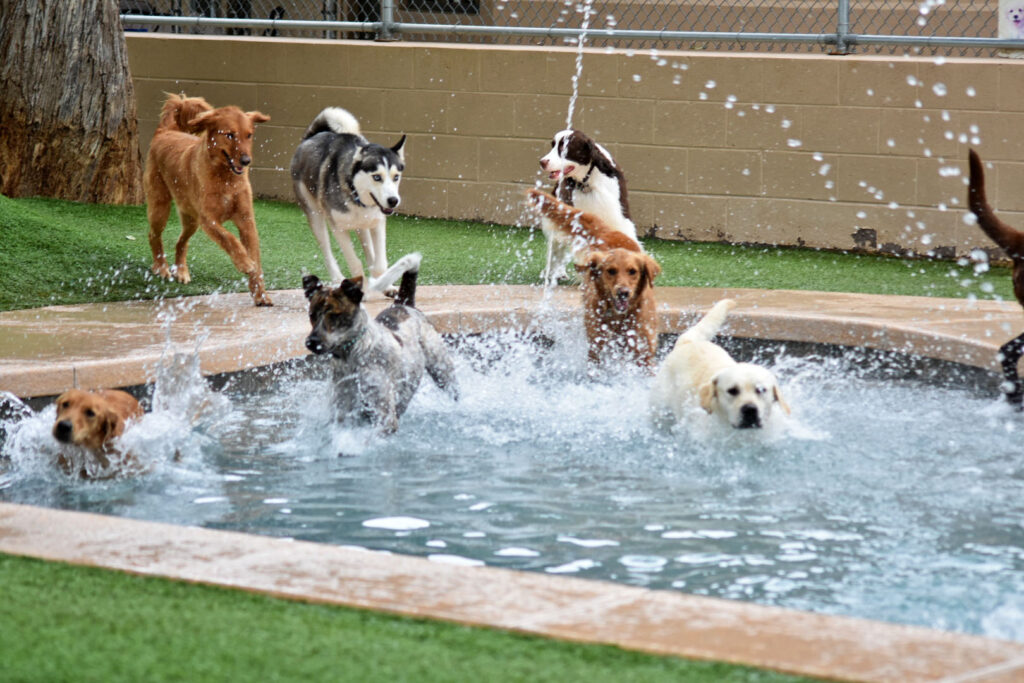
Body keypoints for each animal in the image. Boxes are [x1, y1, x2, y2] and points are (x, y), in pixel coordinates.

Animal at [145, 92, 272, 305]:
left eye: (249, 135)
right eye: (230, 135)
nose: (246, 161)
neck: (226, 178)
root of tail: (165, 131)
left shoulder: (247, 222)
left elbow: (257, 263)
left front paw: (261, 294)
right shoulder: (209, 219)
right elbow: (229, 238)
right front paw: (244, 262)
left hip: (191, 219)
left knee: (181, 243)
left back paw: (181, 271)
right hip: (160, 208)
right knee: (154, 236)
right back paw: (161, 267)